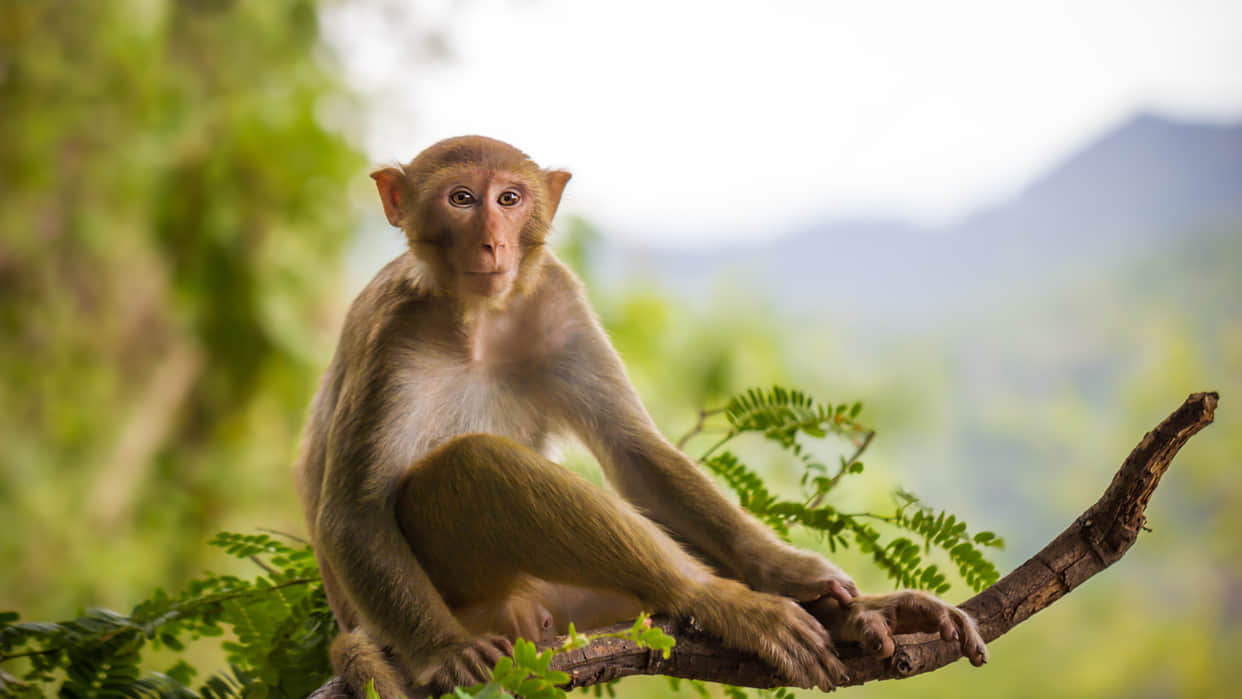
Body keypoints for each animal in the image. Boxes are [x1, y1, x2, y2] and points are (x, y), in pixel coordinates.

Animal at [294, 136, 987, 698]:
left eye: (510, 198)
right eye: (461, 199)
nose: (492, 240)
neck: (478, 318)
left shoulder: (558, 299)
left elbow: (635, 453)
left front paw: (787, 570)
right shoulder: (393, 333)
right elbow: (355, 512)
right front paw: (444, 652)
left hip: (571, 605)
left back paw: (852, 613)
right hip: (472, 597)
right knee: (473, 464)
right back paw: (724, 603)